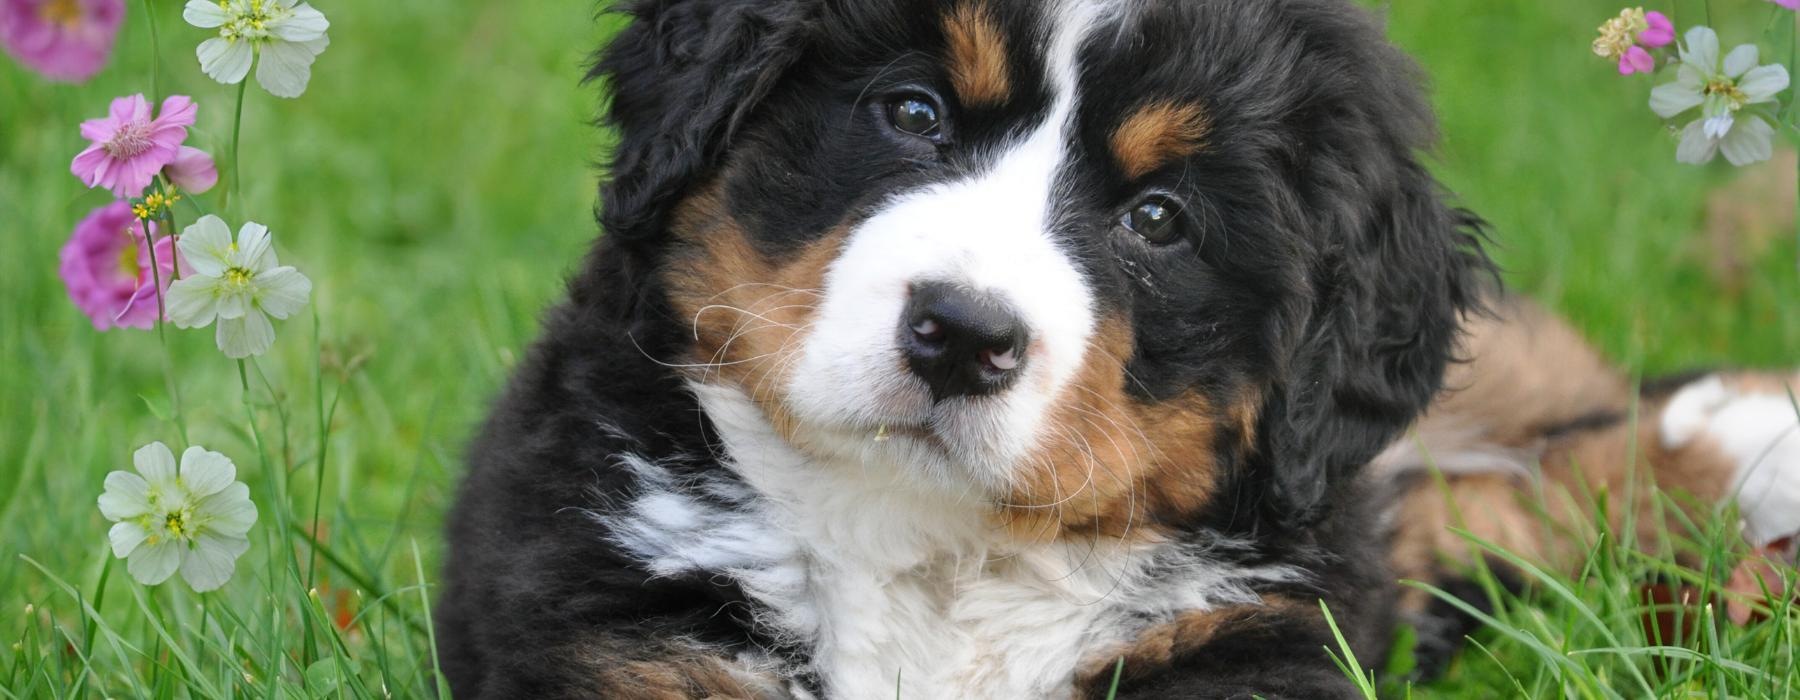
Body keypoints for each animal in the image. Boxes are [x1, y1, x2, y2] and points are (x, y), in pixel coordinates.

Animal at [439, 2, 1800, 694]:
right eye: (912, 111)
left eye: (1159, 219)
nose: (963, 335)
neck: (933, 552)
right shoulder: (620, 625)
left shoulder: (1249, 636)